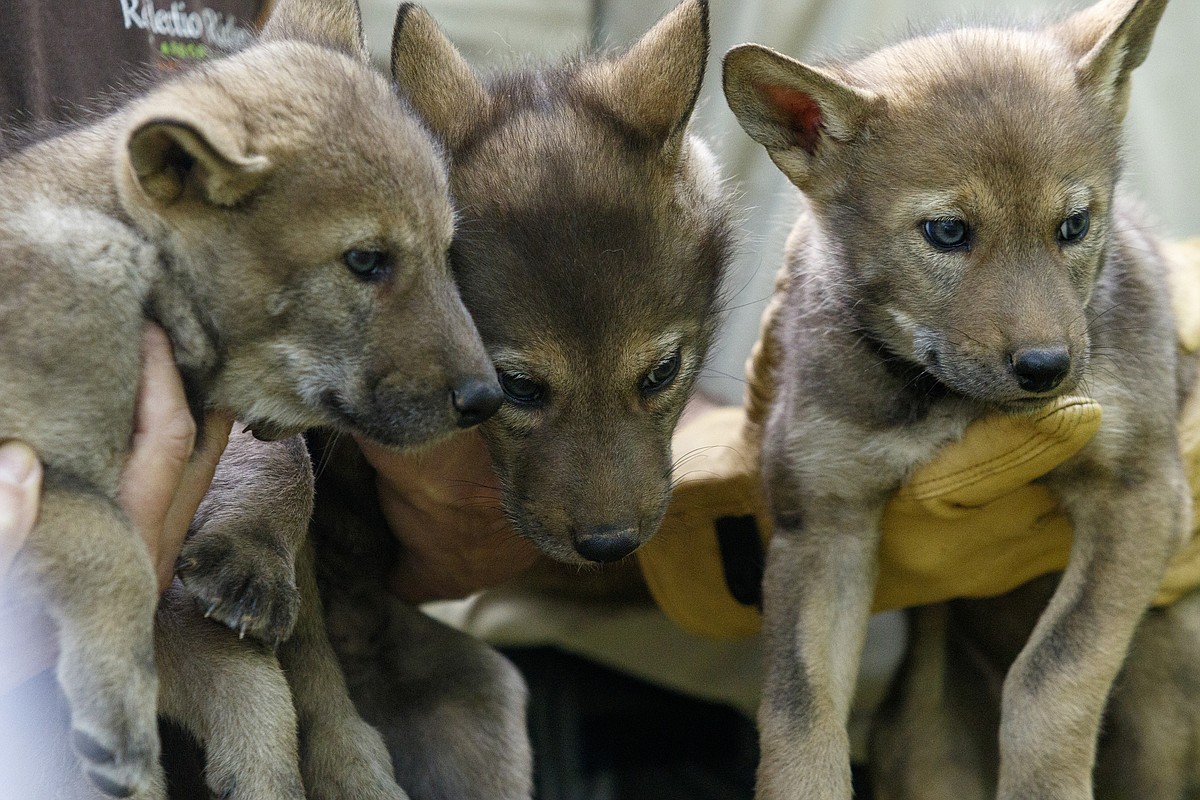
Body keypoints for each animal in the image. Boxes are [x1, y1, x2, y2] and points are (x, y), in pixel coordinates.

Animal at [721, 0, 1188, 797]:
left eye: (1074, 224)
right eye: (946, 232)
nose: (1048, 368)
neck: (948, 405)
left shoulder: (1141, 486)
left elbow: (1052, 672)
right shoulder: (820, 521)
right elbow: (797, 711)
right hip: (926, 748)